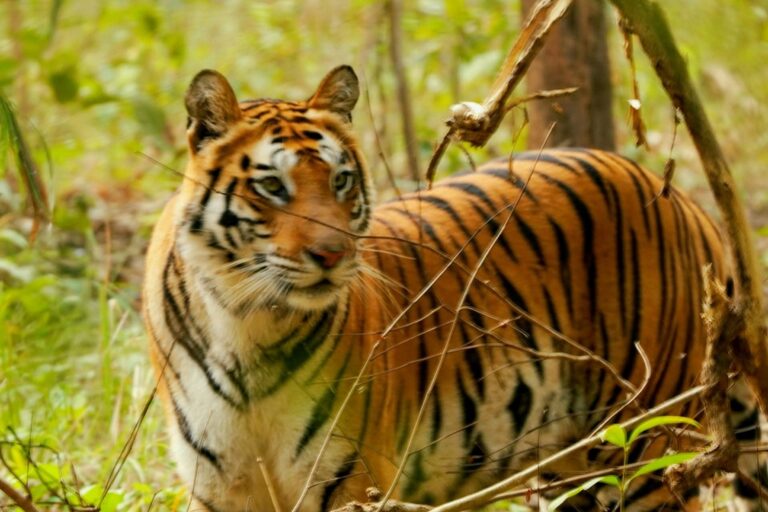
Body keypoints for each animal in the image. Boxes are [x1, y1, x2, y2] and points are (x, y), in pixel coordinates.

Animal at [143, 65, 766, 511]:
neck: (247, 325)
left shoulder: (348, 481)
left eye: (340, 180)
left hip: (642, 448)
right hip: (569, 469)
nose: (333, 255)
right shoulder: (219, 487)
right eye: (273, 186)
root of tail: (681, 200)